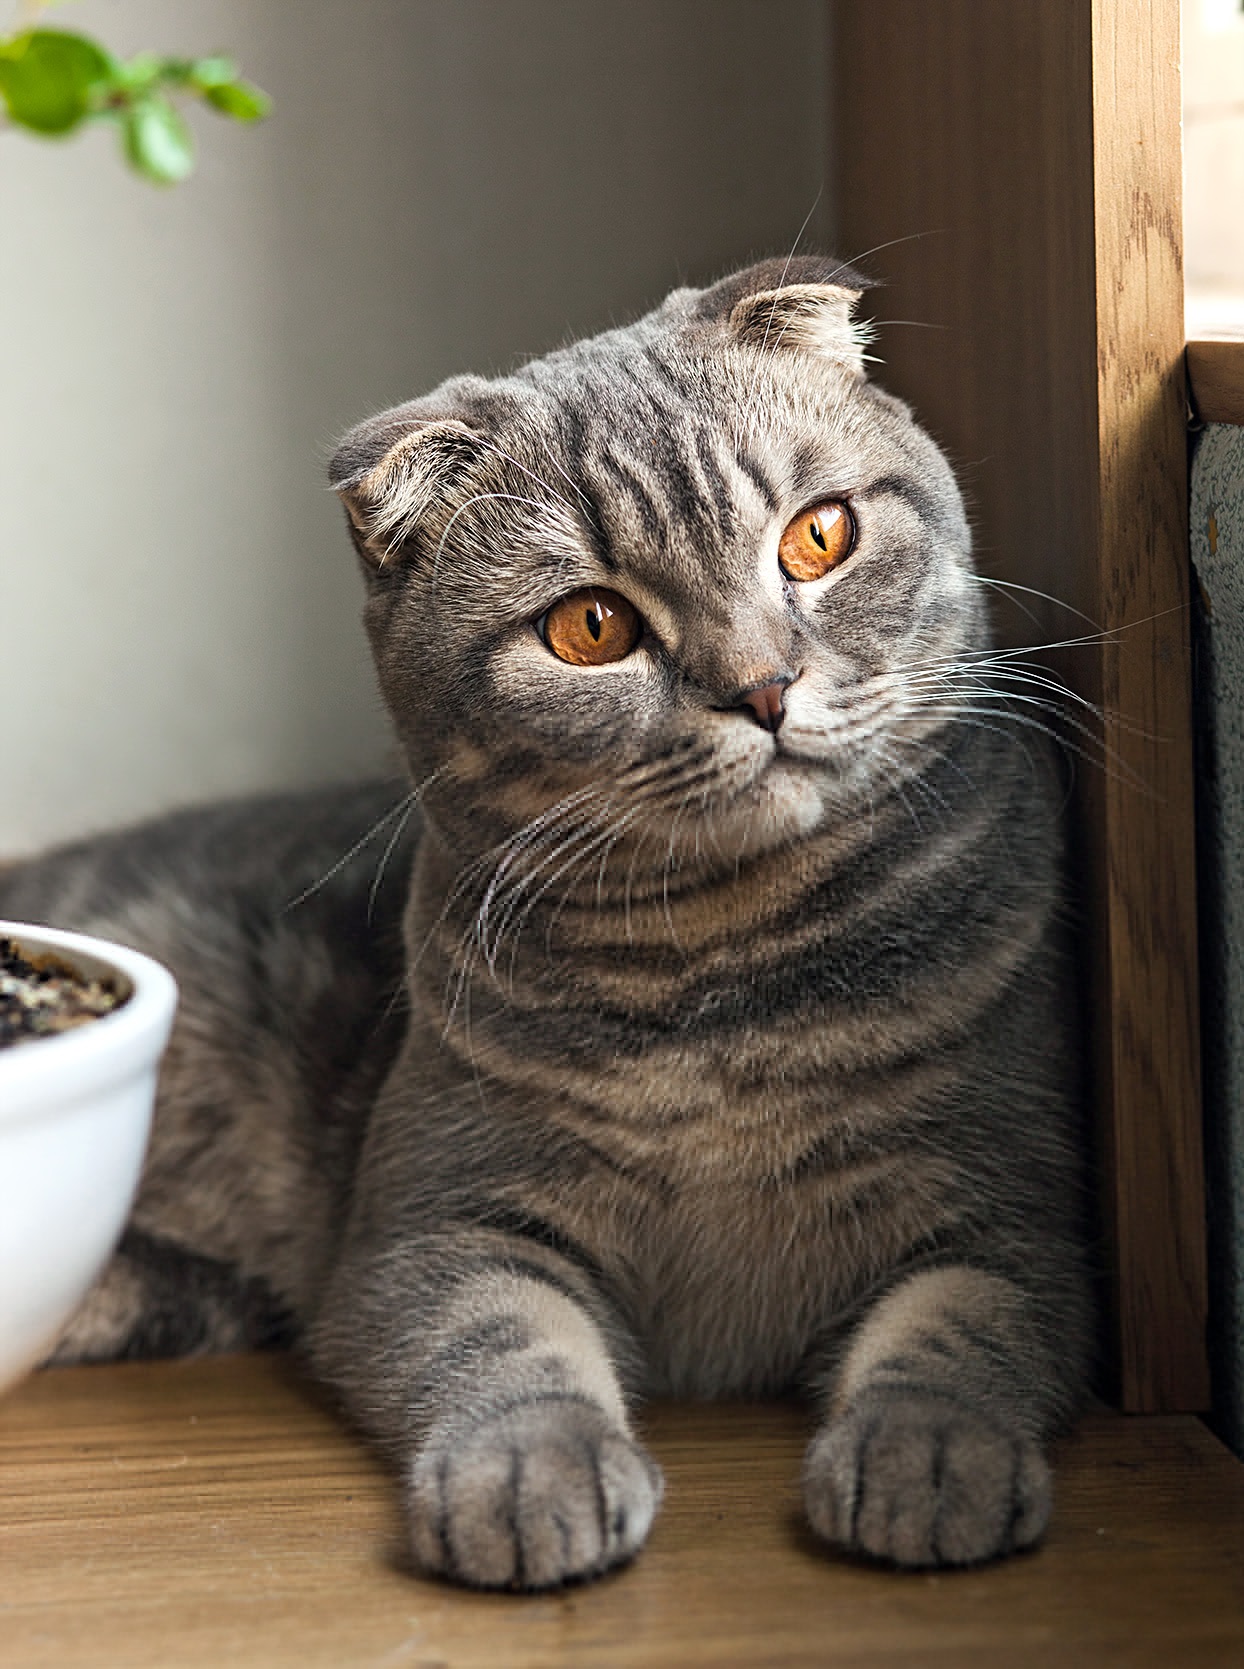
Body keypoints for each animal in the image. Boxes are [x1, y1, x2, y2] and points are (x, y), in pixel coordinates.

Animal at [2, 260, 1088, 1588]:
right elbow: (505, 1346)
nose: (762, 687)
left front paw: (928, 1458)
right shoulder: (438, 1222)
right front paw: (530, 1476)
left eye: (817, 535)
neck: (725, 976)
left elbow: (957, 1332)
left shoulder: (1015, 1208)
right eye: (590, 627)